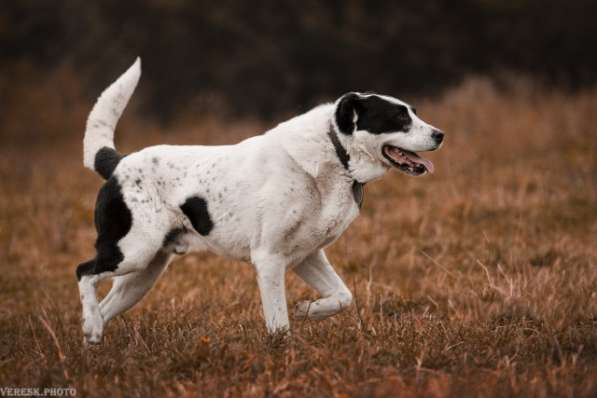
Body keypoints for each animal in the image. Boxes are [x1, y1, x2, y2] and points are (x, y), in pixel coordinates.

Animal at [75, 57, 442, 344]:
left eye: (414, 113)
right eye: (399, 118)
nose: (440, 135)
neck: (334, 153)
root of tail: (118, 163)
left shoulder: (307, 255)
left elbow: (342, 296)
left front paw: (309, 310)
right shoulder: (269, 258)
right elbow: (279, 324)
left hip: (142, 273)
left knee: (104, 306)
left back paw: (93, 343)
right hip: (133, 252)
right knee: (83, 272)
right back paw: (91, 327)